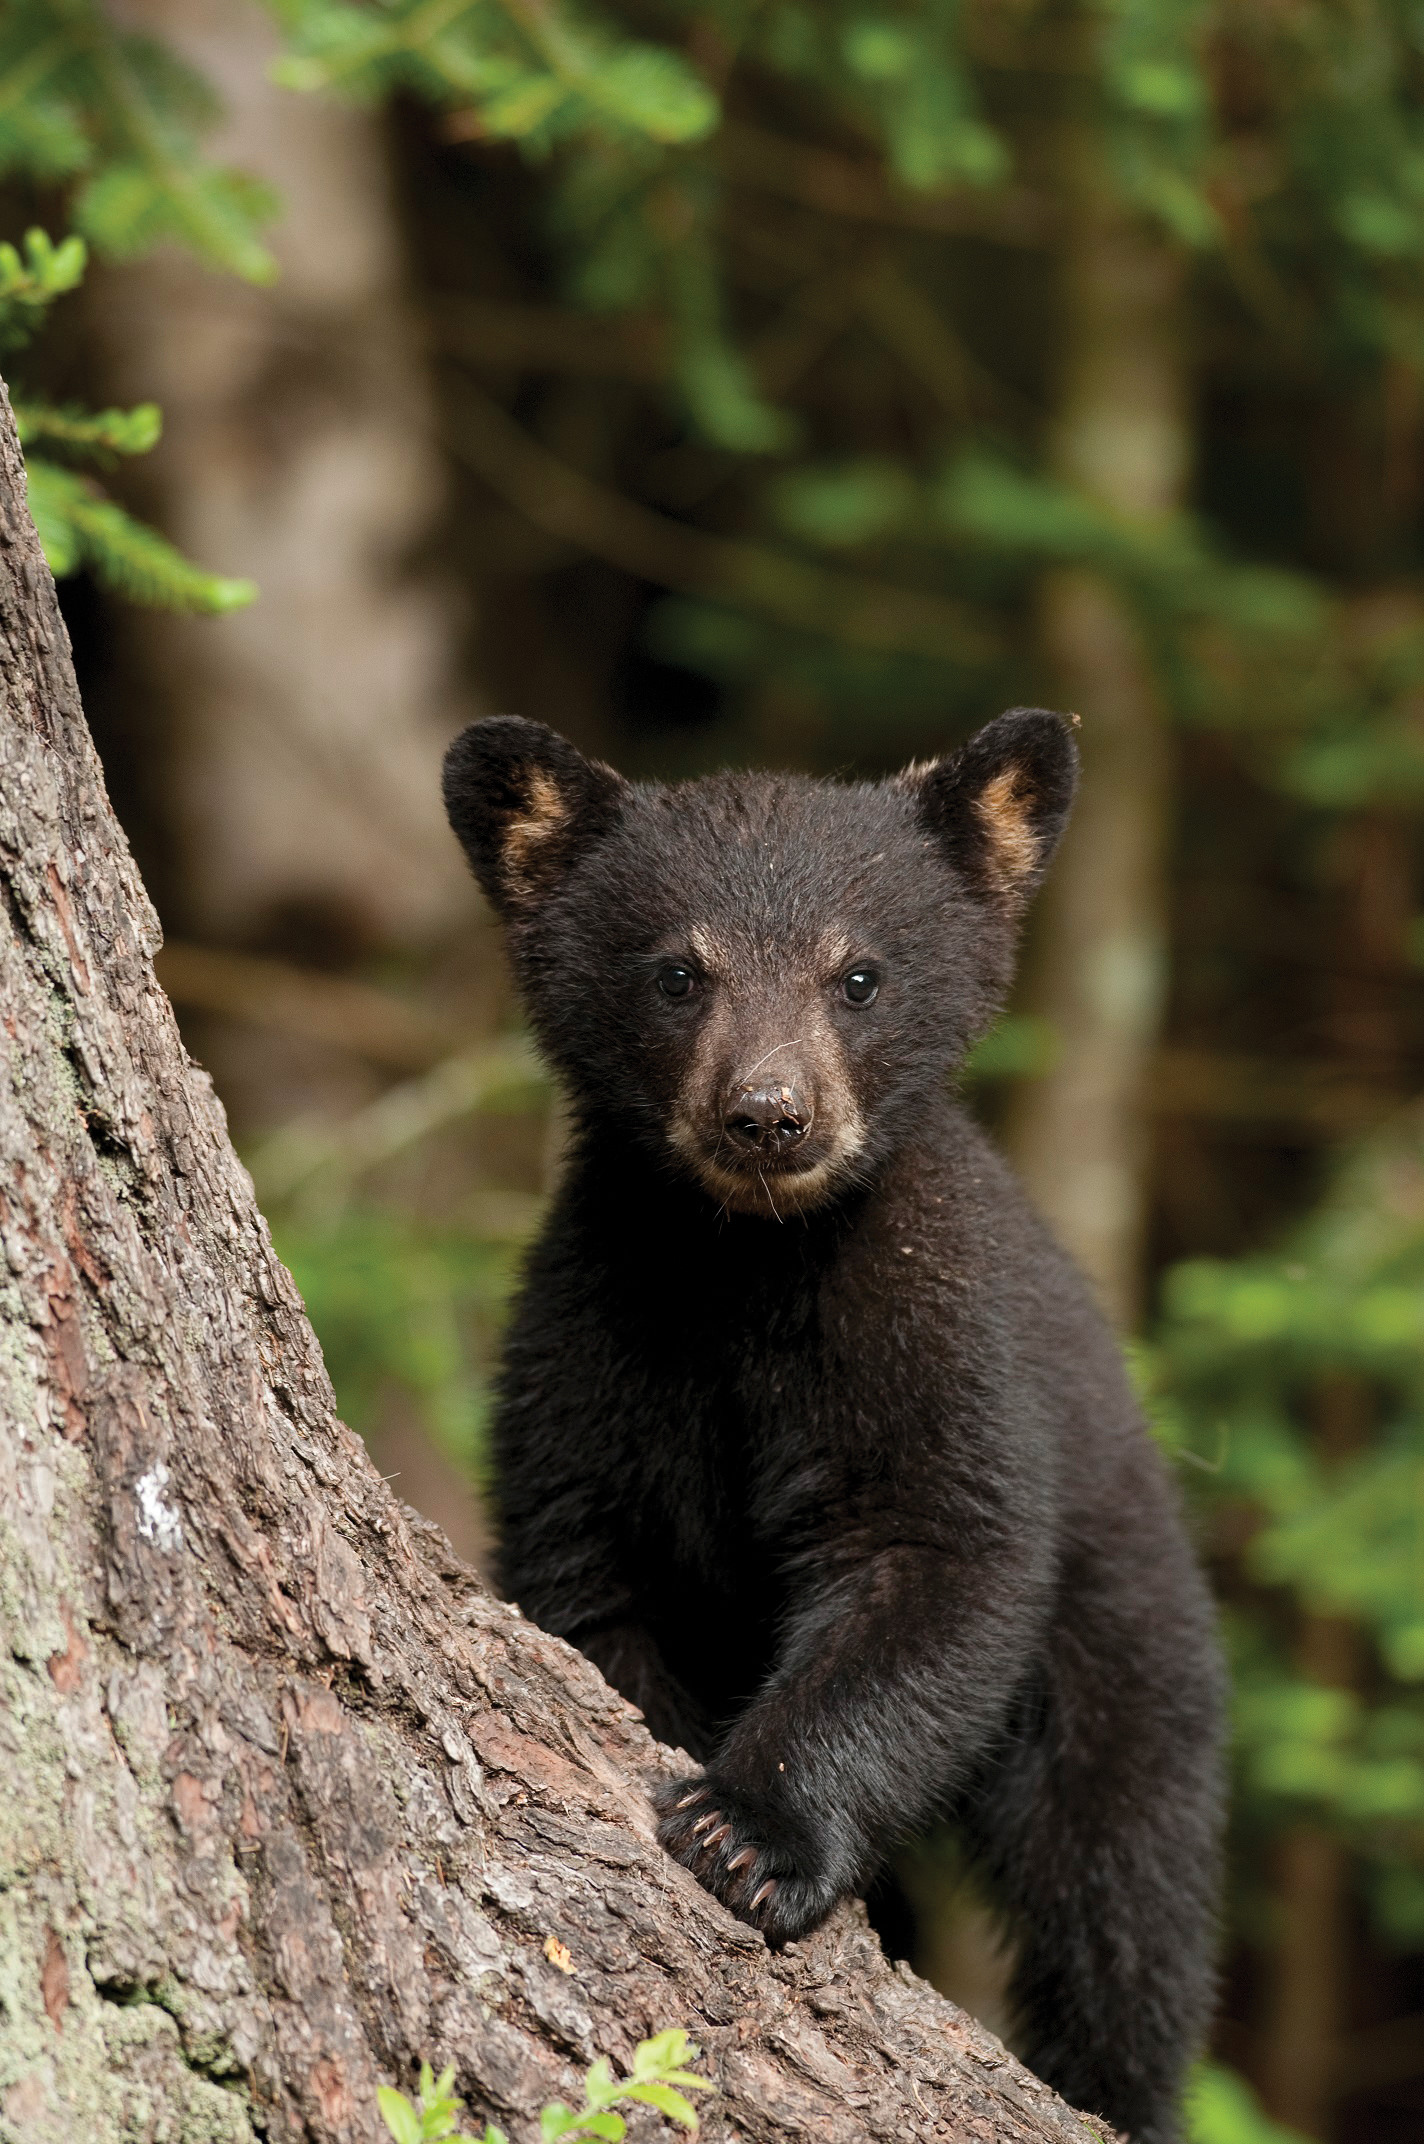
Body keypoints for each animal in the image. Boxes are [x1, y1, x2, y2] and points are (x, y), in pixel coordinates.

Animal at [442, 706, 1225, 2144]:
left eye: (856, 975)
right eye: (676, 972)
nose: (767, 1114)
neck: (751, 1267)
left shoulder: (935, 1331)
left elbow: (936, 1561)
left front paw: (751, 1831)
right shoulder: (597, 1345)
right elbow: (594, 1574)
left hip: (1127, 1649)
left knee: (1123, 1898)